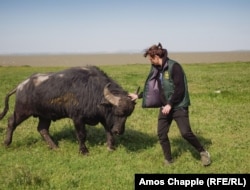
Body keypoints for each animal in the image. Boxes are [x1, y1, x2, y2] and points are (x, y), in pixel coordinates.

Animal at [0, 66, 137, 155]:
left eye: (128, 115)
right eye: (117, 112)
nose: (119, 131)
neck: (92, 91)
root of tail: (21, 86)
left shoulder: (103, 118)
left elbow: (109, 132)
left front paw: (110, 147)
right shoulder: (77, 118)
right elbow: (81, 134)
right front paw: (84, 151)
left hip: (45, 115)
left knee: (42, 129)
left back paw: (55, 147)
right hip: (22, 111)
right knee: (11, 122)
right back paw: (6, 142)